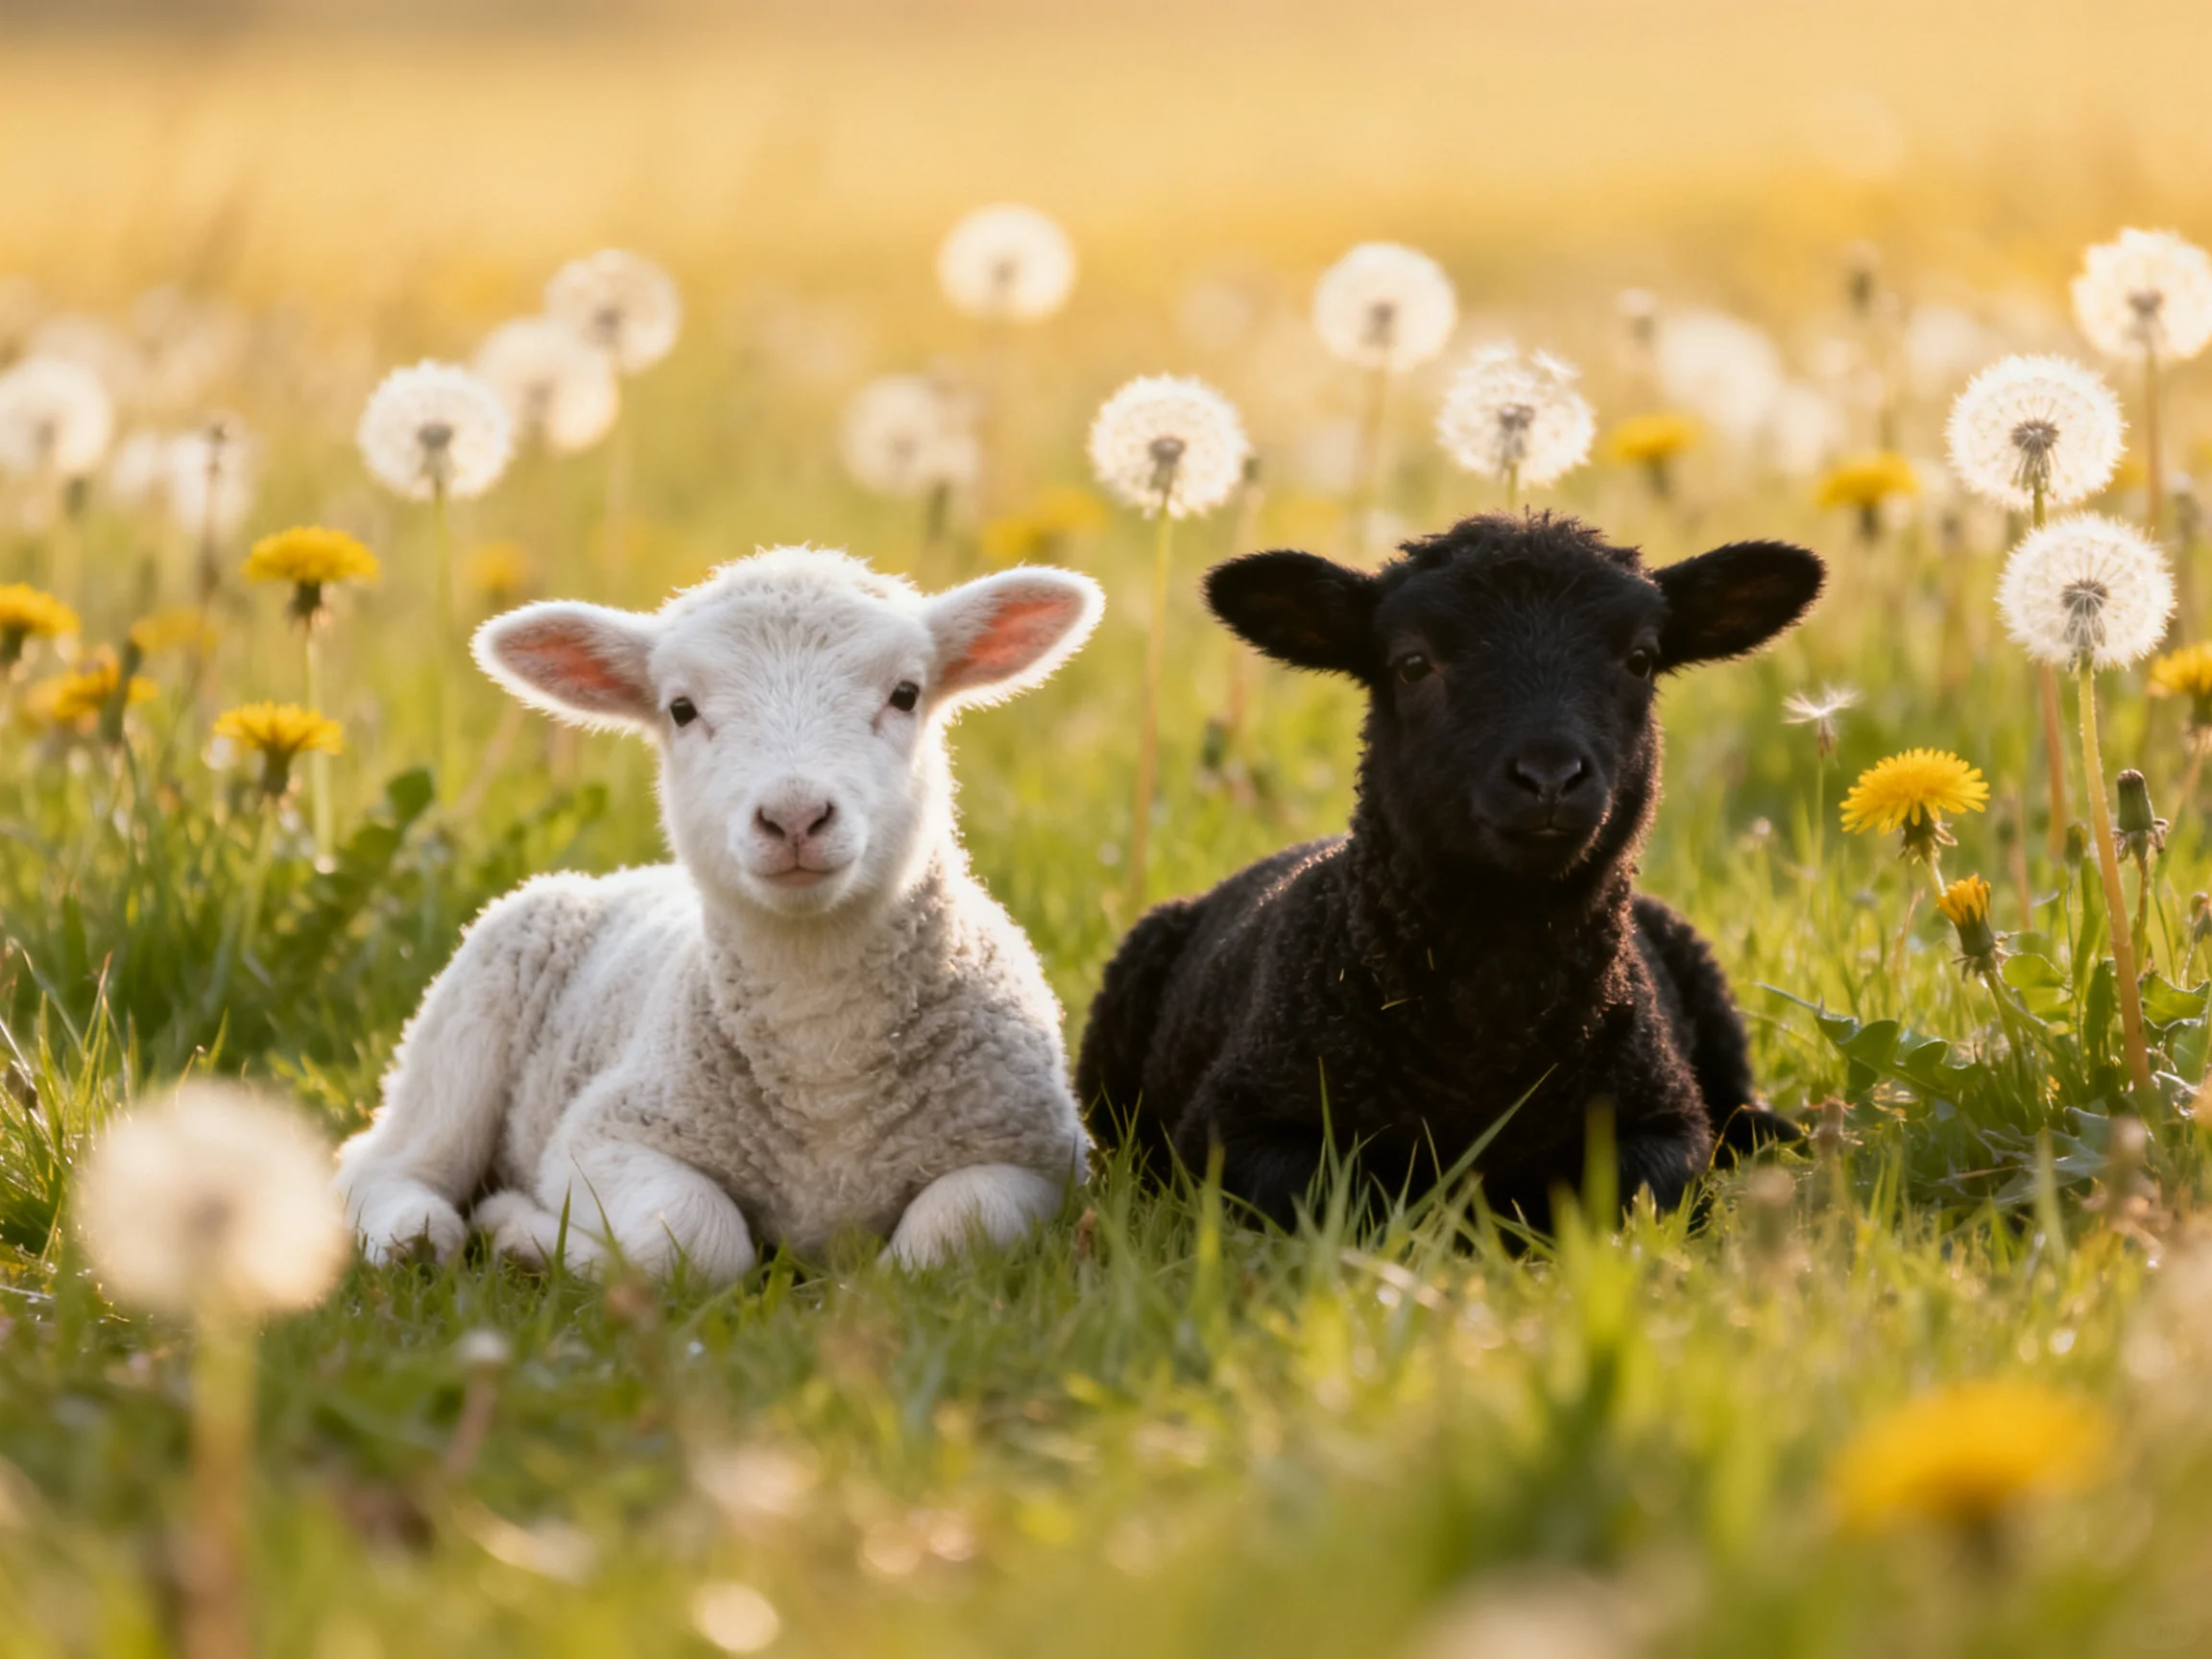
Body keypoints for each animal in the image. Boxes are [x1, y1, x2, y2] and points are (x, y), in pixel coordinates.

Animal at [336, 547, 1103, 1282]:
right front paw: (527, 1237)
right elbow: (697, 1240)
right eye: (681, 708)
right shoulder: (603, 1135)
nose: (795, 816)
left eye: (906, 694)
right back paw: (417, 1237)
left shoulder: (1033, 1157)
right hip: (469, 1015)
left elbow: (942, 1246)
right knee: (386, 1161)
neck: (823, 1053)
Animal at [1076, 512, 1823, 1229]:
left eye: (1641, 659)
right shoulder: (1234, 1125)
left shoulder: (1665, 1118)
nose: (1549, 775)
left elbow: (1636, 1192)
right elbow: (1342, 1200)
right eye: (1411, 664)